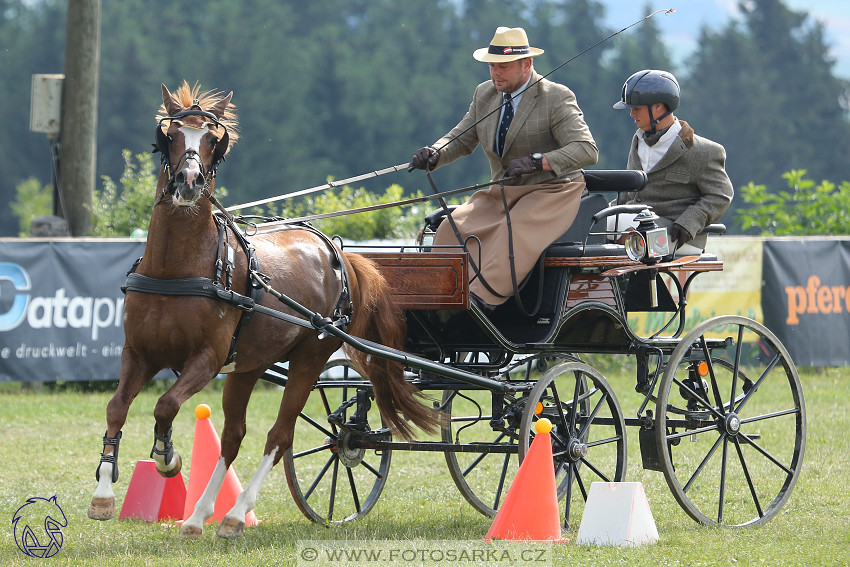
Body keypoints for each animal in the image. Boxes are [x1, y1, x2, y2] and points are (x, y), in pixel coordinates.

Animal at [89, 82, 440, 540]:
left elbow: (165, 406)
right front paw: (103, 492)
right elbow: (117, 407)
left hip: (309, 358)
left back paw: (236, 515)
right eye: (171, 134)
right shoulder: (139, 353)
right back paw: (199, 516)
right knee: (234, 436)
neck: (177, 268)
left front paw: (167, 458)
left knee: (280, 434)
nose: (189, 181)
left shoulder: (206, 360)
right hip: (249, 365)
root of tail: (337, 251)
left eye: (213, 140)